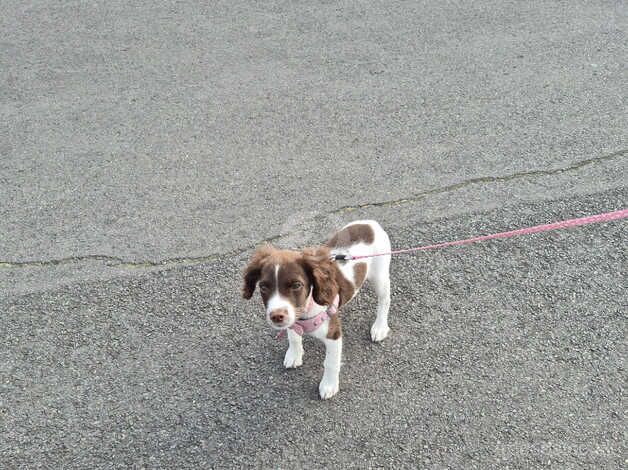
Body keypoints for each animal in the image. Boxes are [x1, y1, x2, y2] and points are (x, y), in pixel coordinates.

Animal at [243, 220, 390, 400]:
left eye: (297, 285)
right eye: (263, 287)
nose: (276, 316)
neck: (306, 308)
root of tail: (370, 223)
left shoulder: (333, 333)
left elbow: (330, 362)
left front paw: (329, 385)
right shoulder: (293, 318)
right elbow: (293, 336)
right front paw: (294, 355)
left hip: (380, 275)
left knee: (385, 300)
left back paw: (380, 327)